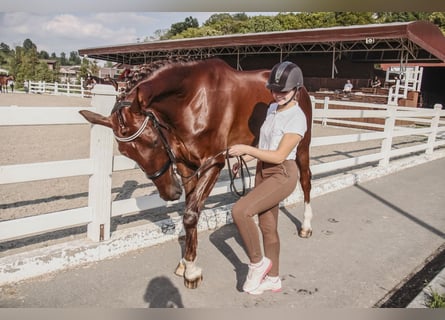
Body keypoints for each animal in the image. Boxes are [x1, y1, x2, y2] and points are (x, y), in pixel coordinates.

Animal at [78, 58, 312, 290]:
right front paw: (186, 262)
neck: (192, 101)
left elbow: (191, 214)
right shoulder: (186, 165)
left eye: (154, 142)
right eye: (125, 152)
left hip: (302, 147)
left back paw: (306, 227)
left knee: (305, 180)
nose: (170, 193)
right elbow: (190, 211)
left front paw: (191, 272)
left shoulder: (213, 163)